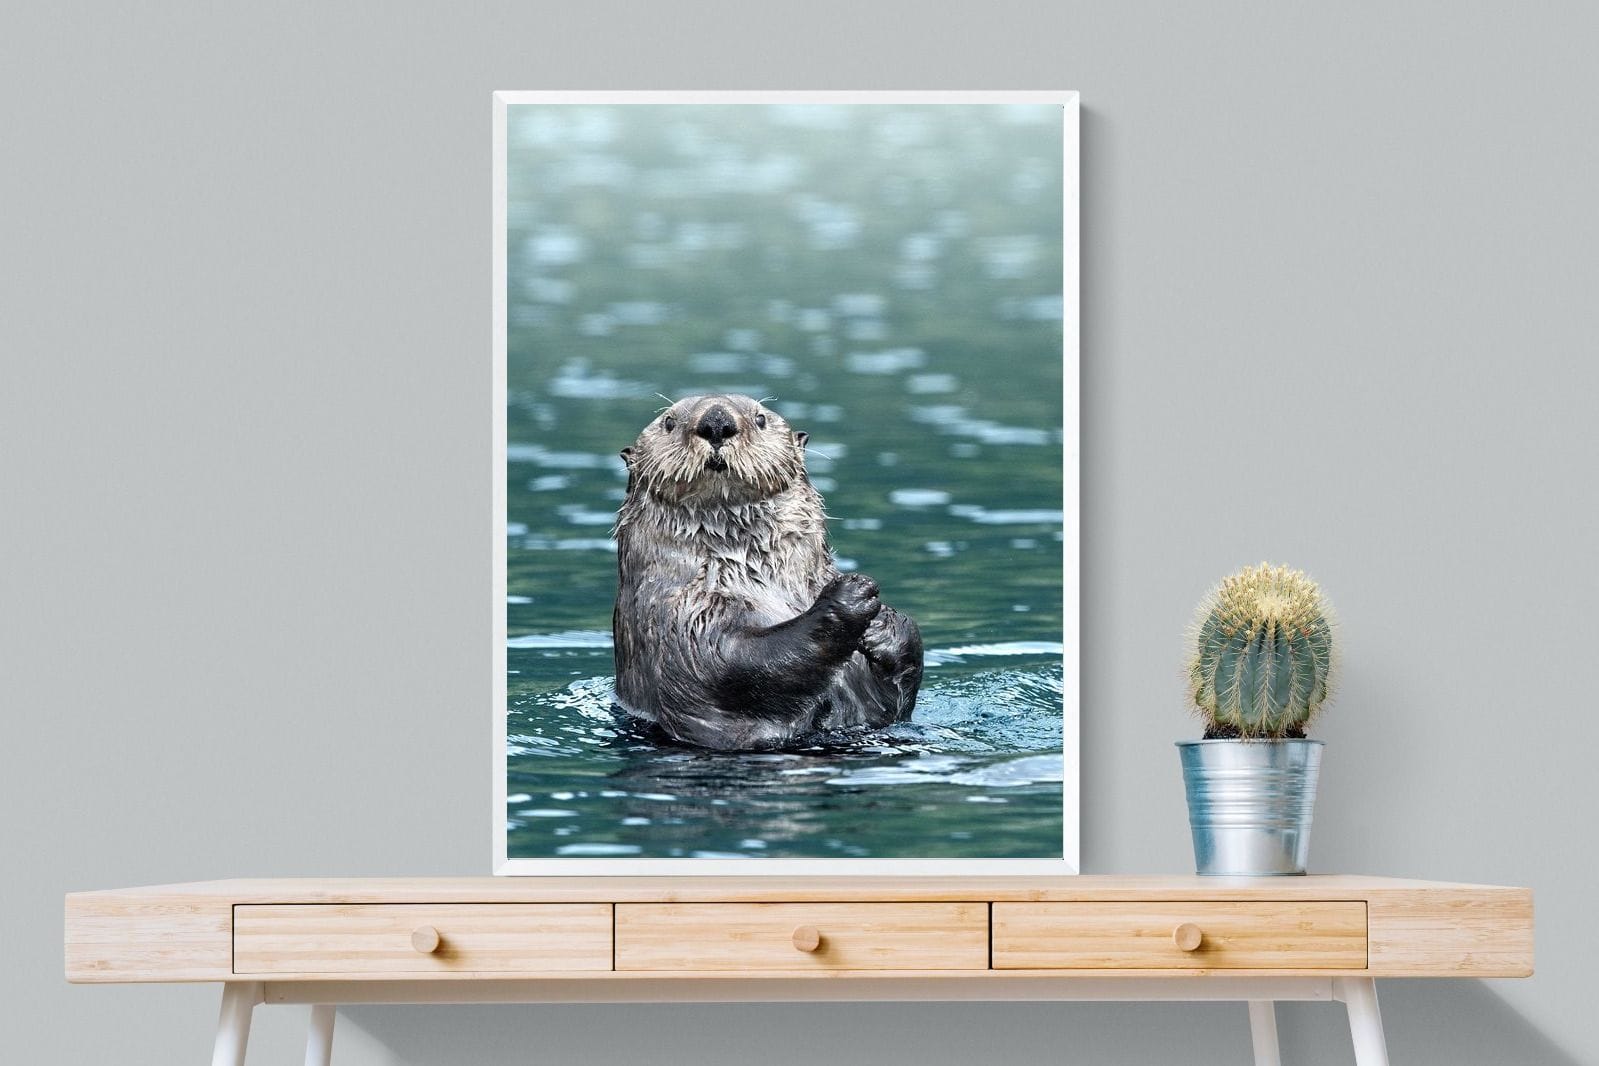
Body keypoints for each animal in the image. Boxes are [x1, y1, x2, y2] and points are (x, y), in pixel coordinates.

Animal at [612, 393, 924, 750]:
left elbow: (893, 703)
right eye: (669, 422)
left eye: (760, 418)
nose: (716, 421)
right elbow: (732, 662)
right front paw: (850, 595)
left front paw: (884, 623)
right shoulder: (680, 617)